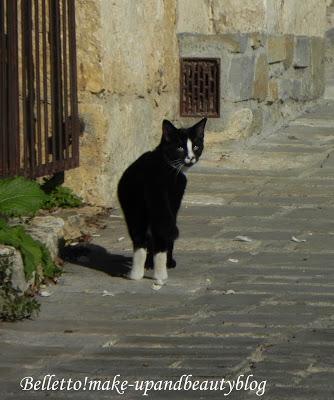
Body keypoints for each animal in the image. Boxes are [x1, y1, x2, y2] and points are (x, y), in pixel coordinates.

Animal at [117, 117, 206, 282]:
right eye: (180, 148)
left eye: (196, 146)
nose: (191, 158)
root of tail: (149, 177)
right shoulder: (174, 201)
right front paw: (168, 263)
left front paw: (148, 264)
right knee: (161, 238)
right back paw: (161, 274)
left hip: (133, 207)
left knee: (139, 239)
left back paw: (136, 275)